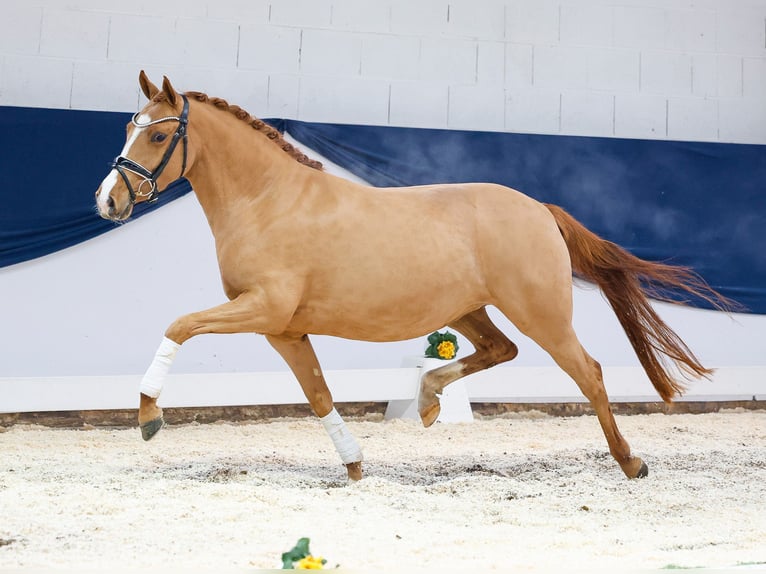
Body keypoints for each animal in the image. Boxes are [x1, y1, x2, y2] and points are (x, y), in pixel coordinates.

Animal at [96, 74, 732, 484]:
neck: (268, 200)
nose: (107, 201)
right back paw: (428, 400)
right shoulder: (284, 329)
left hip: (542, 313)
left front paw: (149, 417)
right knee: (501, 349)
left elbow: (179, 326)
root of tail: (538, 208)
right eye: (128, 127)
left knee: (589, 373)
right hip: (467, 310)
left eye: (158, 135)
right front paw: (354, 465)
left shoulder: (264, 309)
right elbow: (318, 394)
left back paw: (631, 463)